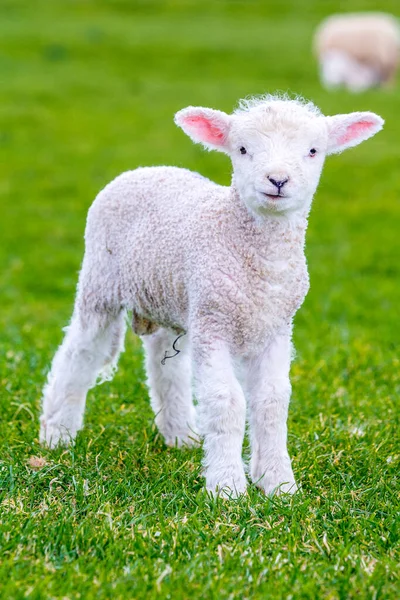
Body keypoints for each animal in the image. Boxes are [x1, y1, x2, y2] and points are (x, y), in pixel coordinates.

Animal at [39, 94, 384, 496]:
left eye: (313, 151)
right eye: (243, 149)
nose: (278, 180)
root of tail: (145, 168)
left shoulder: (276, 327)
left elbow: (272, 401)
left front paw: (278, 483)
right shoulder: (214, 323)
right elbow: (225, 401)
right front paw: (227, 487)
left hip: (172, 296)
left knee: (165, 364)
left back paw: (180, 435)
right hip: (101, 281)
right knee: (80, 351)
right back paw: (57, 433)